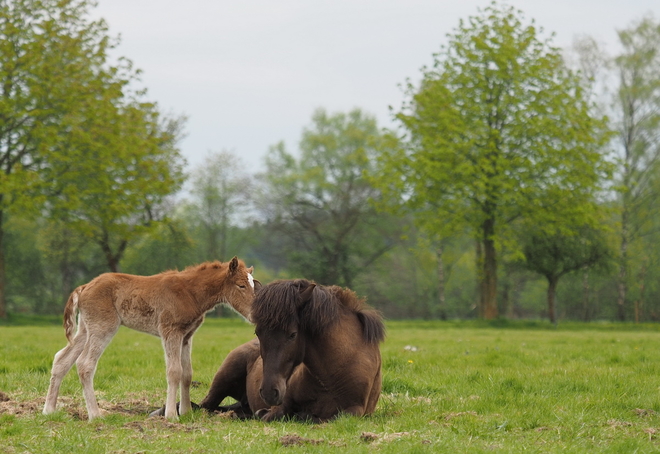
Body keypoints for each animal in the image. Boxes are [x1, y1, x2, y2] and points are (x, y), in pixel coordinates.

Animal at [43, 258, 258, 420]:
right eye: (241, 285)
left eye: (253, 285)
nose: (254, 314)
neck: (190, 292)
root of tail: (85, 286)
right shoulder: (170, 332)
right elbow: (174, 371)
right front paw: (171, 415)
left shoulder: (186, 336)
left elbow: (187, 374)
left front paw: (186, 412)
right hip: (102, 328)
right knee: (85, 363)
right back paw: (95, 415)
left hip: (85, 329)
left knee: (61, 359)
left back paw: (49, 410)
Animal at [152, 280, 384, 422]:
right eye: (258, 332)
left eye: (292, 334)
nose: (269, 392)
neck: (330, 376)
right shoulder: (282, 406)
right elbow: (279, 414)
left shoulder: (355, 411)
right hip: (224, 379)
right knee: (204, 406)